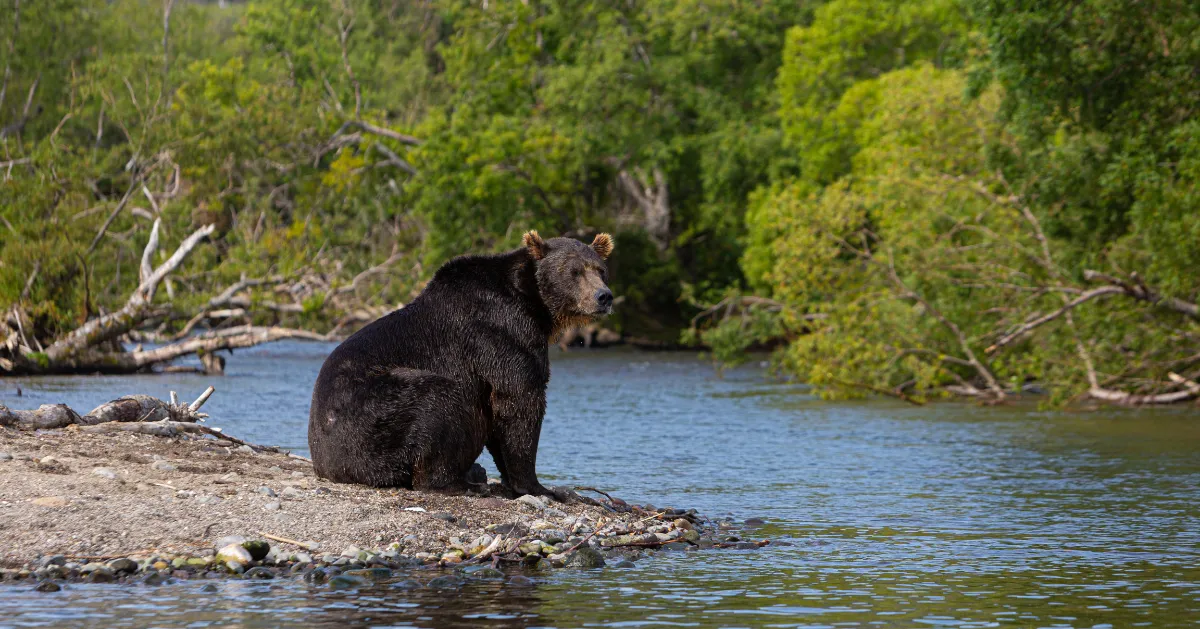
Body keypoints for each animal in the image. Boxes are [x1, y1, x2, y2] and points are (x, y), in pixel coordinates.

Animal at [309, 230, 614, 496]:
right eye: (574, 271)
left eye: (600, 270)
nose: (604, 296)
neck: (535, 305)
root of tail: (324, 463)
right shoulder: (501, 334)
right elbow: (520, 400)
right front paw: (538, 486)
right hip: (373, 414)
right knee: (439, 401)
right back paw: (463, 483)